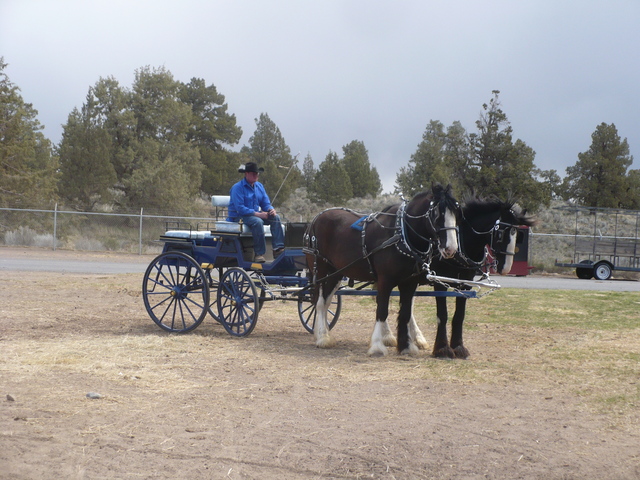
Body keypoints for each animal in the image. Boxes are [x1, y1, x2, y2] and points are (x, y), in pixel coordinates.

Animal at [304, 185, 460, 356]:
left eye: (456, 212)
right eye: (437, 213)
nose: (451, 248)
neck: (402, 234)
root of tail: (316, 218)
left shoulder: (410, 282)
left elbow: (405, 313)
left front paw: (406, 346)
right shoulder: (385, 280)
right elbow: (382, 310)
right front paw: (378, 346)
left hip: (336, 273)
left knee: (325, 302)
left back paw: (323, 334)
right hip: (320, 271)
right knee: (319, 302)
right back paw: (322, 337)